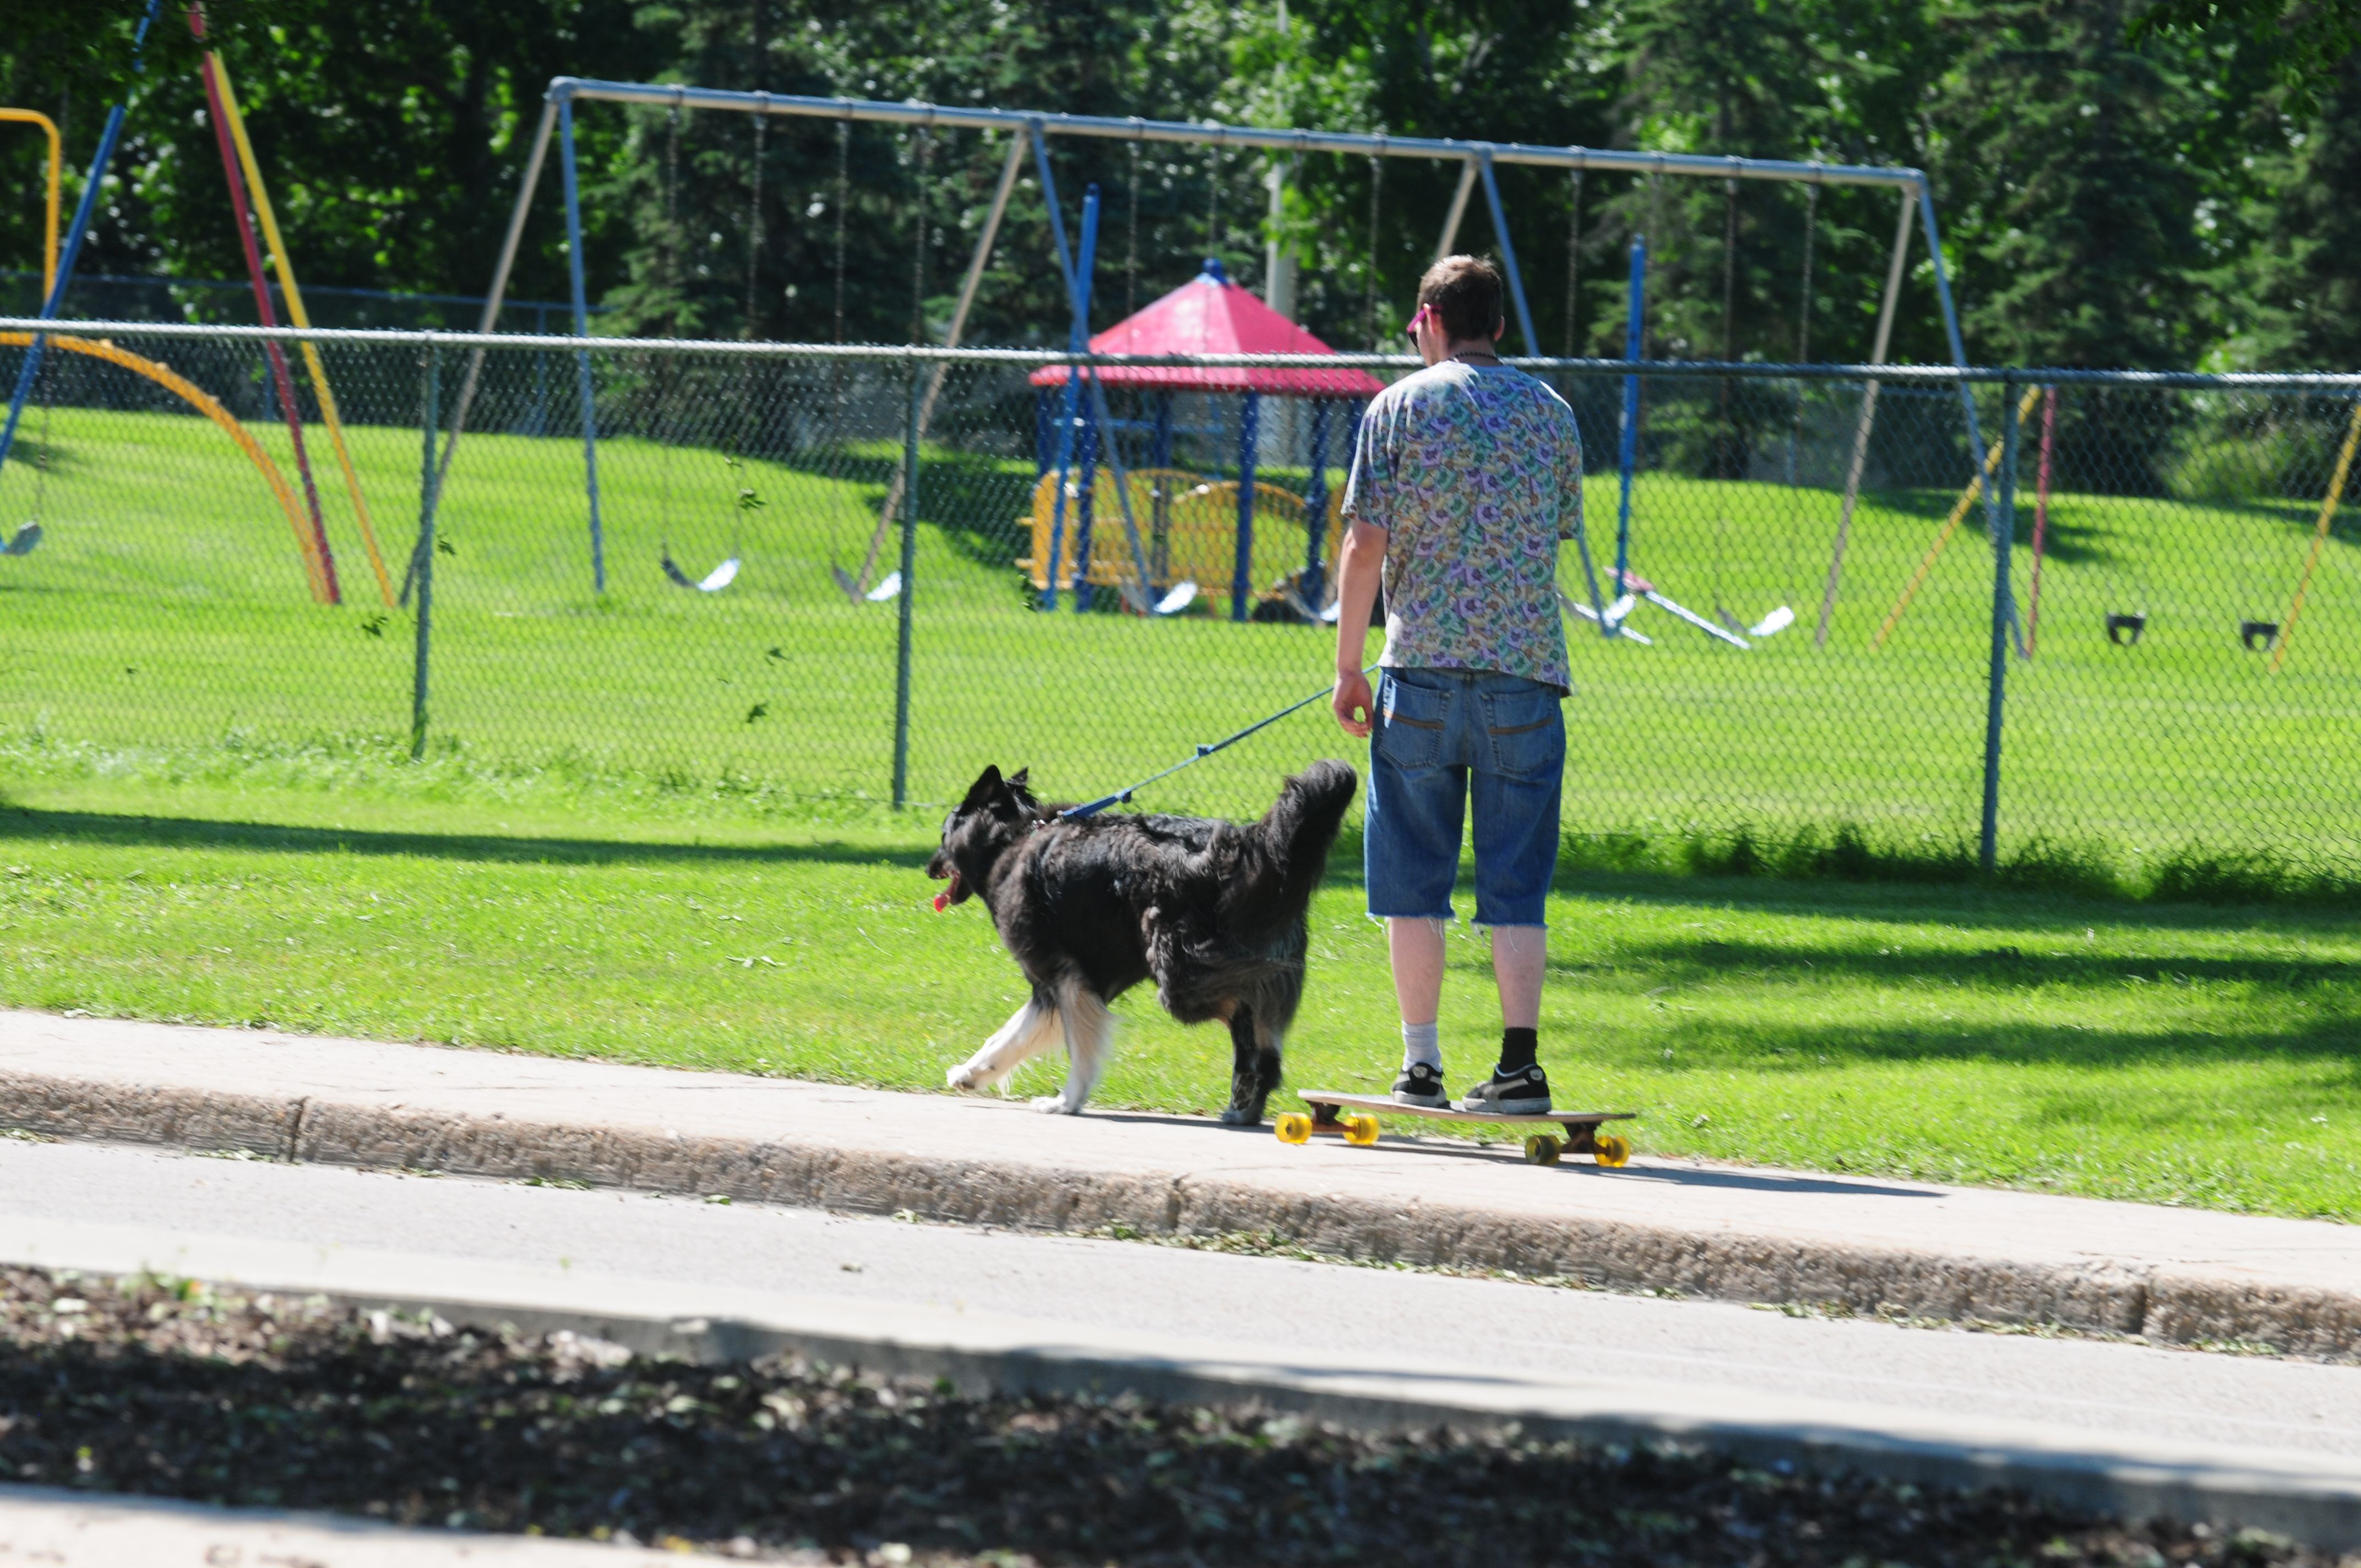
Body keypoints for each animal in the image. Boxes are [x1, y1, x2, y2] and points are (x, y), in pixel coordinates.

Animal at [930, 755, 1359, 1114]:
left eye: (943, 832)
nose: (929, 867)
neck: (1012, 837)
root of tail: (1247, 849)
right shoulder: (1056, 986)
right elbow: (1008, 1037)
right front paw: (969, 1073)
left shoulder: (1064, 978)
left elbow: (1075, 1048)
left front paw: (1066, 1102)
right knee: (1260, 1025)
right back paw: (1248, 1098)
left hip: (1180, 974)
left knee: (1244, 1010)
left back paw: (1250, 1084)